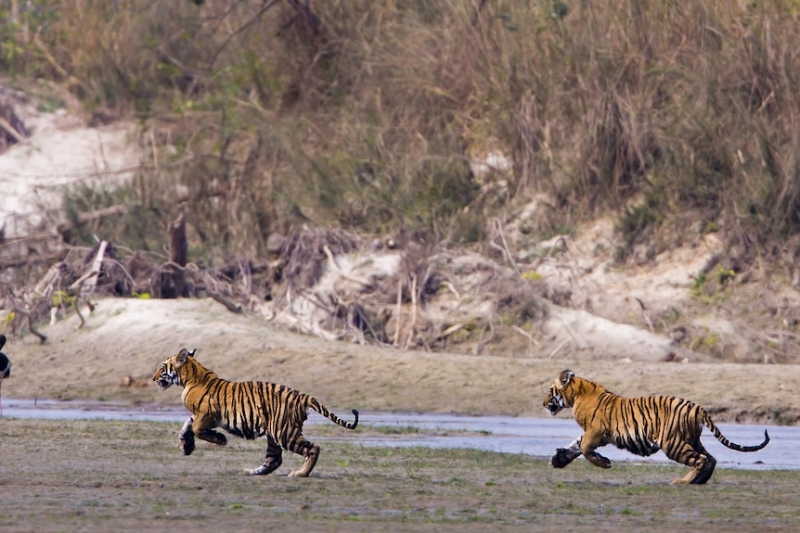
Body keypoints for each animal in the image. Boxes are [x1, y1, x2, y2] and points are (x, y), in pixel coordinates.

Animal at [153, 348, 360, 476]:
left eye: (162, 367)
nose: (153, 378)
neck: (190, 378)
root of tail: (301, 396)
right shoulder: (201, 416)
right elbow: (187, 425)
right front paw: (186, 446)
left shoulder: (206, 415)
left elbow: (196, 428)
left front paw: (220, 439)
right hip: (274, 434)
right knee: (274, 460)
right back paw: (251, 472)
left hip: (284, 432)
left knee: (313, 448)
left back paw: (300, 474)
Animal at [544, 368, 768, 484]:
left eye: (550, 390)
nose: (543, 403)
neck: (577, 394)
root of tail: (698, 407)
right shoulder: (592, 433)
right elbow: (576, 445)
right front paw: (558, 459)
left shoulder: (596, 432)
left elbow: (584, 448)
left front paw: (604, 462)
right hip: (690, 439)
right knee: (711, 458)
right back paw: (699, 481)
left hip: (672, 443)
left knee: (701, 459)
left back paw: (683, 481)